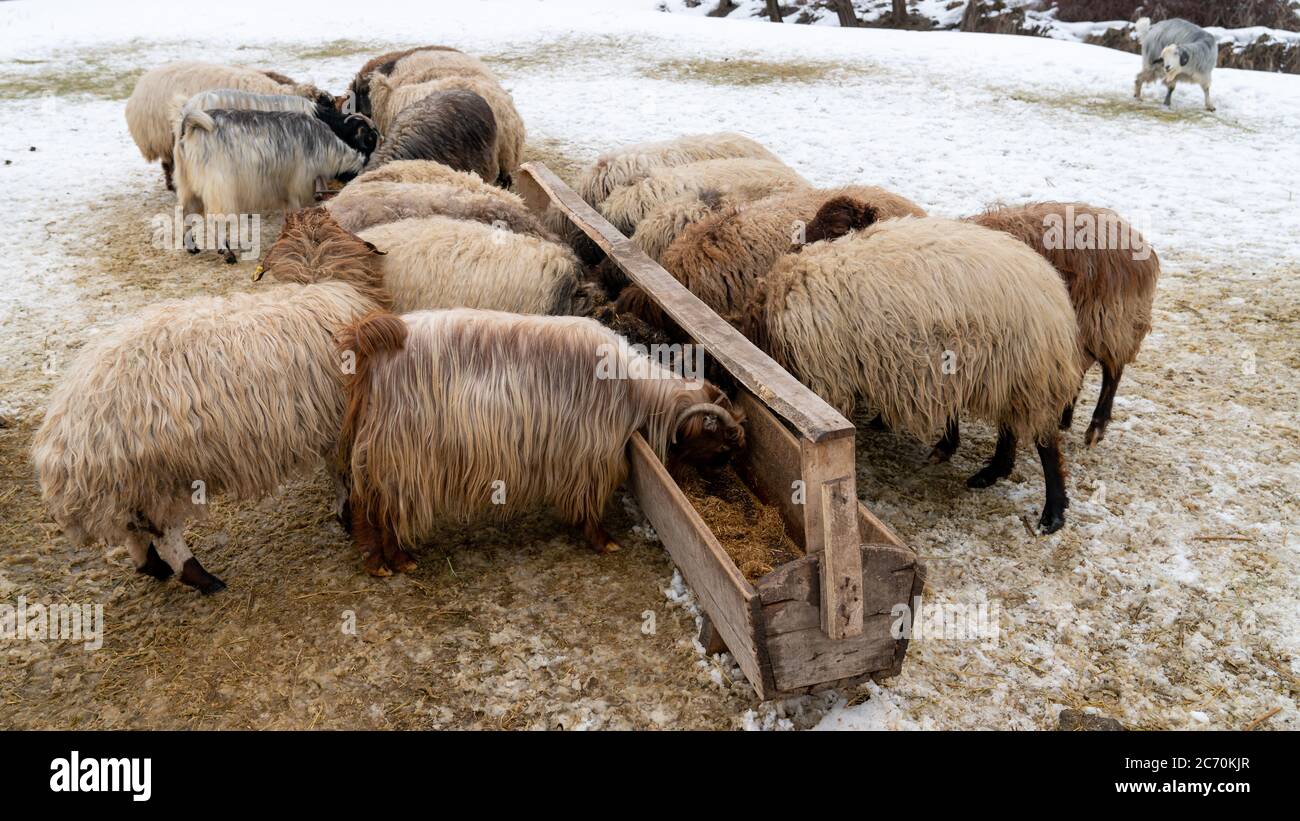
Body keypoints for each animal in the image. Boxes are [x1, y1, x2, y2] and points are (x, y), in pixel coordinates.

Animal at [31, 280, 383, 594]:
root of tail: (65, 428)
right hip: (155, 478)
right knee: (165, 534)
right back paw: (202, 579)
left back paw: (154, 568)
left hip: (129, 485)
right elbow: (341, 475)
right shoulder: (340, 427)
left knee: (136, 531)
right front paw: (348, 517)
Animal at [173, 108, 368, 262]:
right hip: (219, 186)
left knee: (186, 212)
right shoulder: (297, 184)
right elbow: (296, 210)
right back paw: (227, 253)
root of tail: (190, 127)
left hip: (187, 186)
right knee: (216, 218)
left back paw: (192, 247)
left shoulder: (285, 189)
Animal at [337, 309, 745, 574]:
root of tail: (374, 344)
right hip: (401, 450)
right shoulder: (590, 450)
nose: (719, 479)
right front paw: (602, 540)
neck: (634, 389)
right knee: (379, 505)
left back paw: (380, 561)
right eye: (723, 446)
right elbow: (589, 500)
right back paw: (392, 562)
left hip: (385, 448)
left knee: (364, 501)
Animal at [742, 216, 1082, 533]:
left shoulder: (825, 378)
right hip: (1000, 374)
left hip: (1027, 370)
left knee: (1045, 441)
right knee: (1008, 425)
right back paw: (990, 471)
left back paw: (1052, 512)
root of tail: (1051, 286)